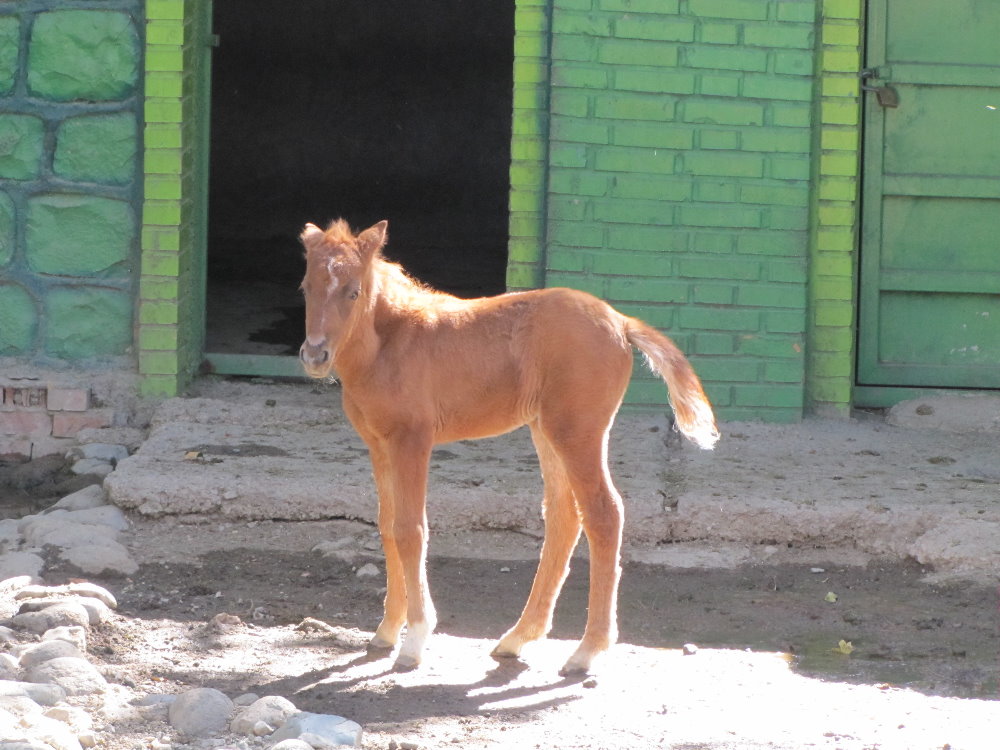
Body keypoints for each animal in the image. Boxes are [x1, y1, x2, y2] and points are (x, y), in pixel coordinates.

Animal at [298, 218, 719, 674]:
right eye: (305, 287)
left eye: (353, 291)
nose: (315, 355)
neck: (391, 343)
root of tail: (622, 323)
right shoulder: (378, 444)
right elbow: (387, 527)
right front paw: (387, 631)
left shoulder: (413, 439)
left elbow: (411, 530)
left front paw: (414, 641)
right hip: (545, 430)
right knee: (563, 516)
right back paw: (518, 638)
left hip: (578, 431)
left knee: (604, 513)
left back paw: (587, 650)